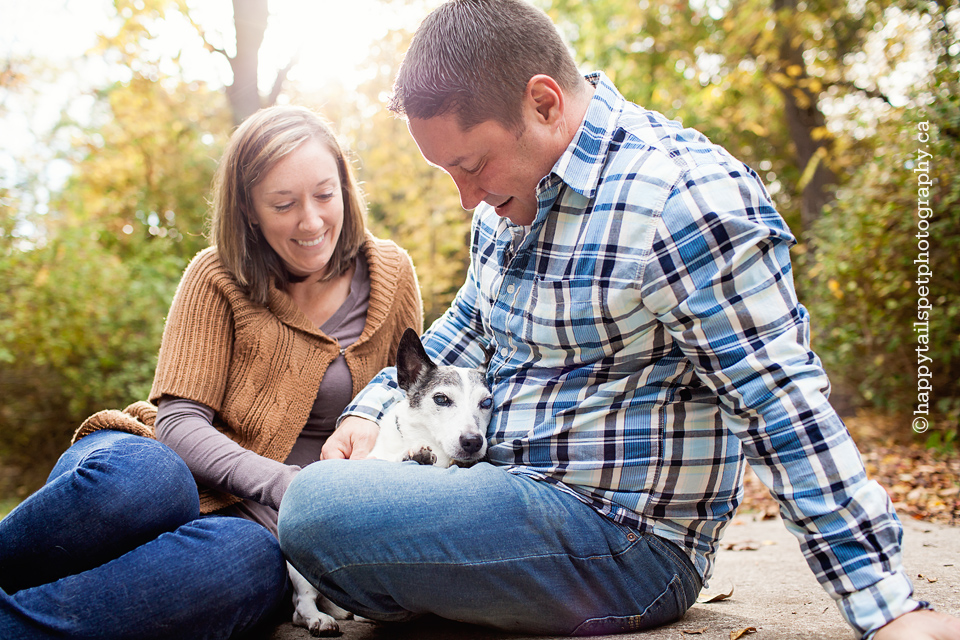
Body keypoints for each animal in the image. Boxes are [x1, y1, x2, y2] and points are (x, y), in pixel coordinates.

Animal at [286, 328, 496, 636]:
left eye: (487, 403)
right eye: (441, 399)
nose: (473, 442)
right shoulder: (373, 459)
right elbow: (392, 458)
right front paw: (413, 454)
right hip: (301, 575)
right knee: (300, 605)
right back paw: (318, 619)